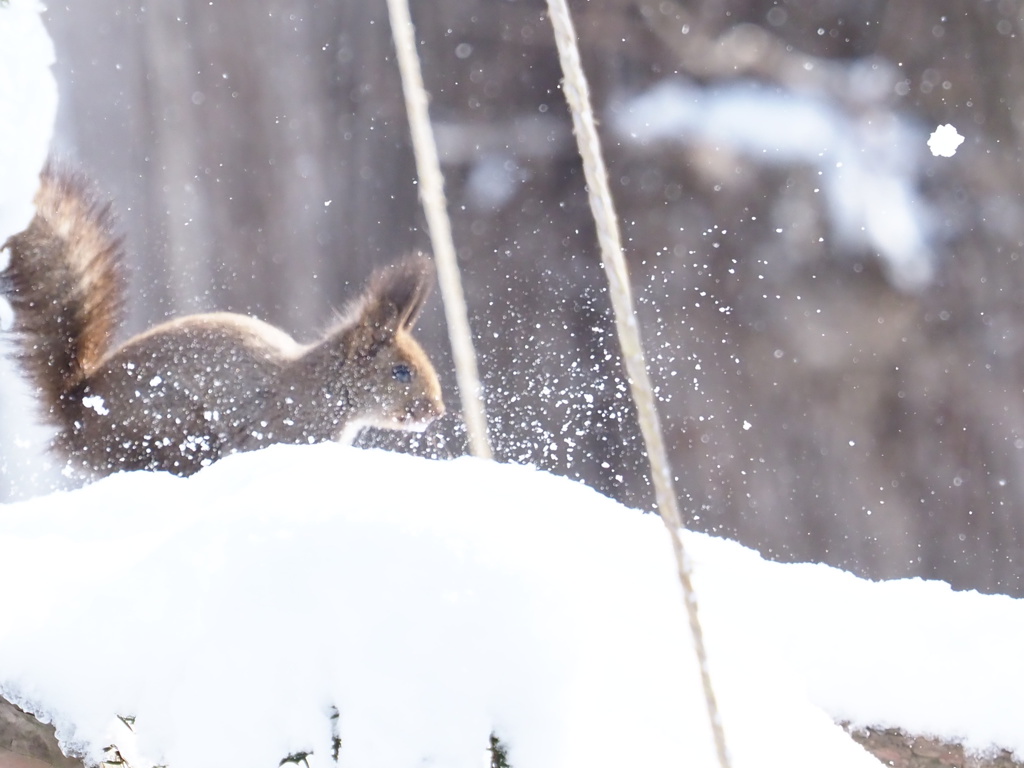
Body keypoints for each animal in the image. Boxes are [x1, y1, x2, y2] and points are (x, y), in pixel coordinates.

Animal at [2, 162, 446, 479]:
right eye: (402, 371)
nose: (437, 411)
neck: (325, 387)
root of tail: (76, 407)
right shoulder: (283, 431)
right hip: (172, 436)